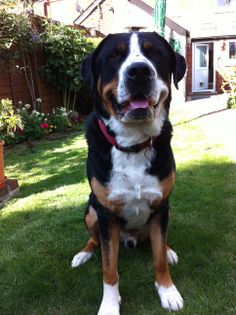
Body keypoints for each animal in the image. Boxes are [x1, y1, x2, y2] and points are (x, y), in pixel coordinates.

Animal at [72, 30, 186, 314]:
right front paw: (109, 305)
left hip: (167, 210)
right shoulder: (106, 215)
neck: (133, 144)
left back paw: (169, 250)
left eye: (154, 52)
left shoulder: (160, 206)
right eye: (115, 55)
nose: (139, 72)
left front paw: (167, 290)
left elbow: (158, 257)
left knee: (159, 242)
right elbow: (109, 268)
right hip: (91, 211)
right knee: (95, 241)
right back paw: (83, 253)